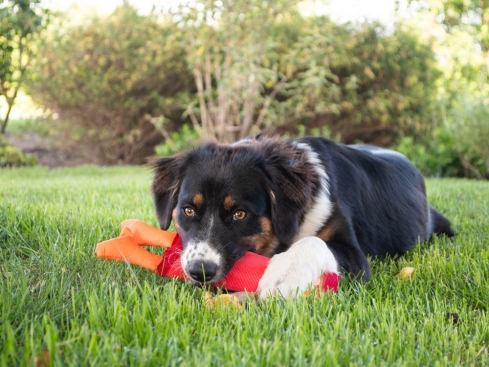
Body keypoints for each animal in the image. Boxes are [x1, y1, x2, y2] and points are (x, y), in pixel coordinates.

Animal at [151, 137, 452, 300]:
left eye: (240, 214)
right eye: (188, 210)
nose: (200, 271)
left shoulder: (355, 256)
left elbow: (312, 242)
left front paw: (284, 274)